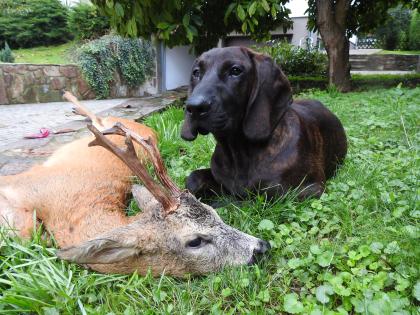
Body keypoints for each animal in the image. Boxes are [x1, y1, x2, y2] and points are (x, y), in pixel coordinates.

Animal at [0, 92, 270, 276]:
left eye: (215, 213)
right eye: (195, 241)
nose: (262, 247)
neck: (68, 214)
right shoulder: (23, 181)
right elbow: (24, 229)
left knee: (97, 118)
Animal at [180, 47, 348, 200]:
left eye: (235, 70)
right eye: (196, 72)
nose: (194, 107)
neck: (238, 151)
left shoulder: (309, 188)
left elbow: (261, 194)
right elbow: (193, 179)